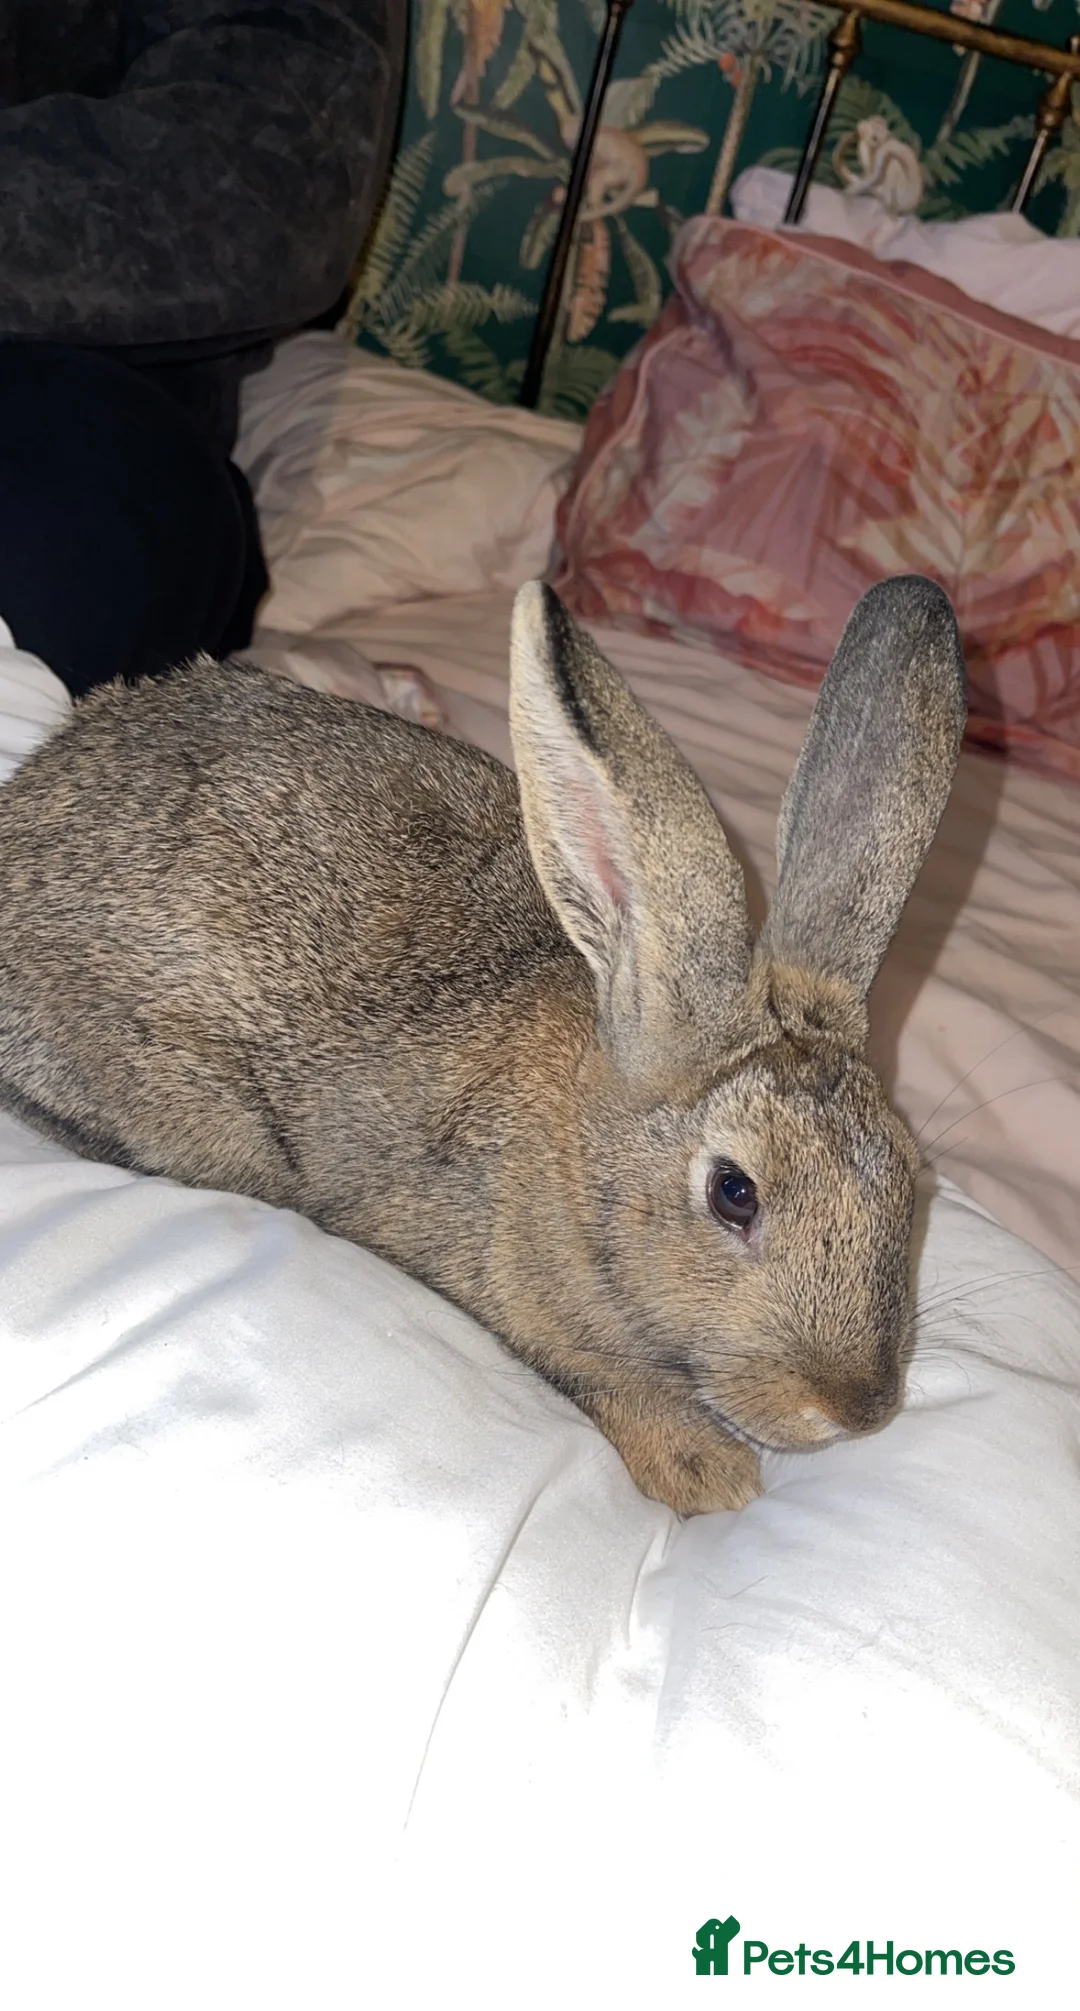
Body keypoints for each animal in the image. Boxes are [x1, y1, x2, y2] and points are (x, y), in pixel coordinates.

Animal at [0, 576, 965, 1515]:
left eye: (912, 1178)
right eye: (735, 1193)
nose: (858, 1408)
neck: (585, 1166)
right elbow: (599, 1377)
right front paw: (706, 1473)